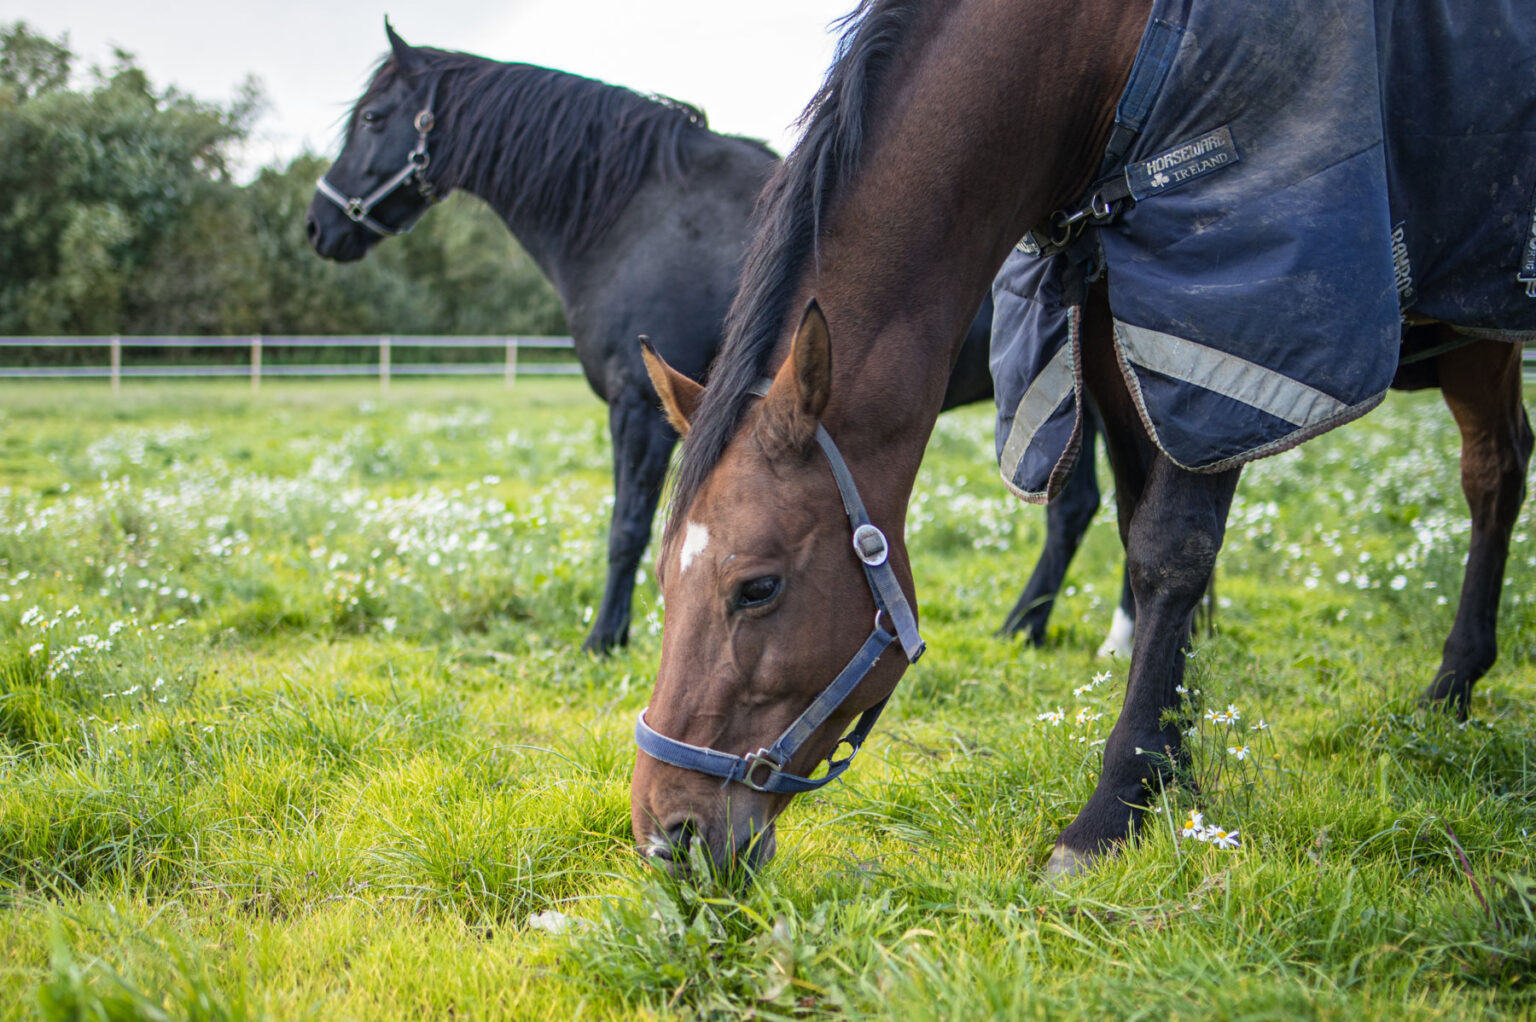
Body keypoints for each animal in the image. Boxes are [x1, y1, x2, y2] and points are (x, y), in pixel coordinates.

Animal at [302, 27, 1130, 657]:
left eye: (374, 117)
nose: (319, 225)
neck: (634, 213)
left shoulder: (639, 408)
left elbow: (627, 526)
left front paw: (603, 639)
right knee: (1085, 508)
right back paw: (1041, 631)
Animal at [626, 1, 1536, 879]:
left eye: (758, 589)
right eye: (663, 582)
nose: (667, 837)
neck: (1102, 47)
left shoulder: (1223, 327)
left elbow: (1173, 549)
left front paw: (1113, 810)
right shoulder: (1114, 325)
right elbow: (1142, 535)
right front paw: (1174, 774)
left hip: (1479, 330)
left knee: (1493, 472)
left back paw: (1453, 685)